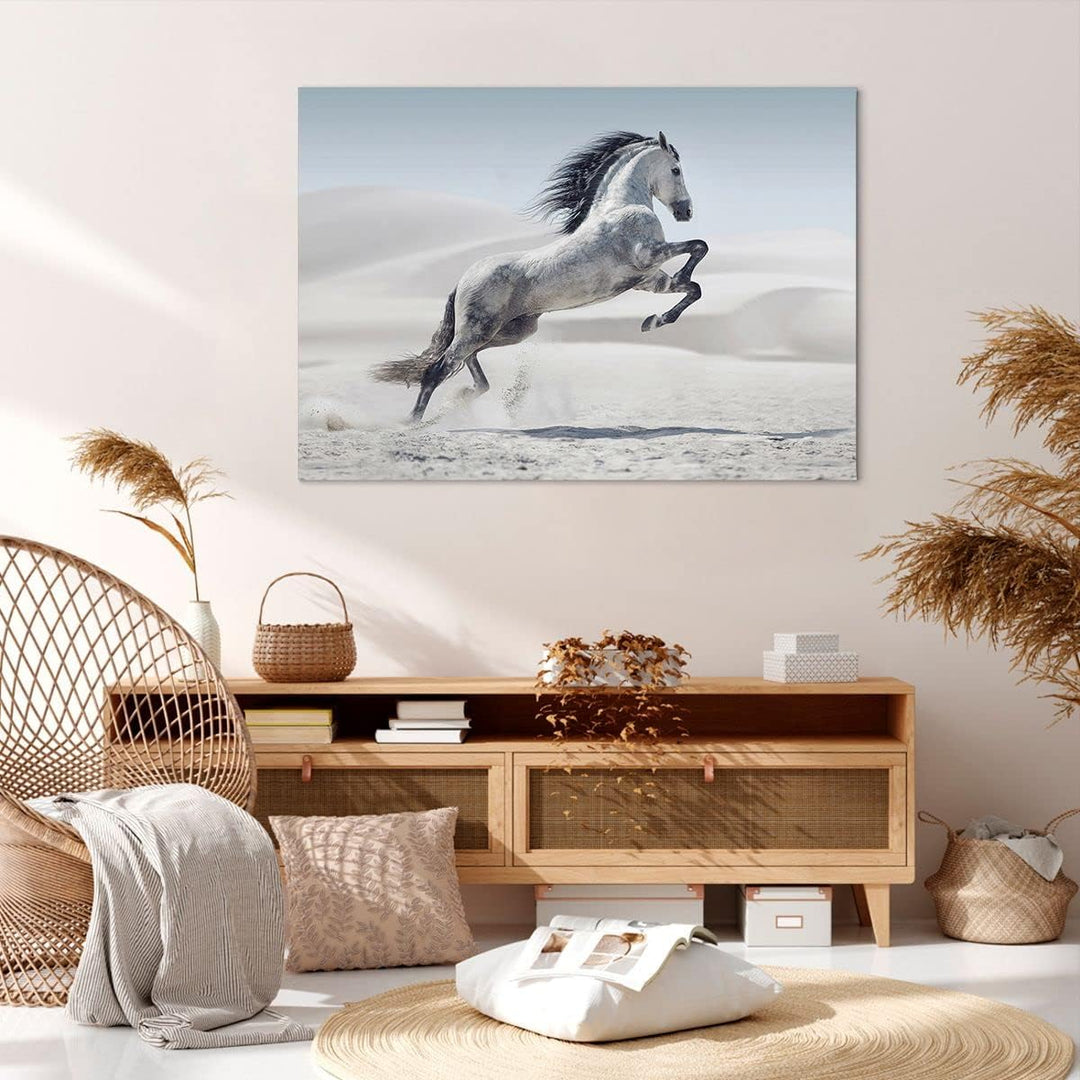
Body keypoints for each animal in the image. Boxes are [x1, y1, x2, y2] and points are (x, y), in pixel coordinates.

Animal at [372, 131, 708, 422]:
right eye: (676, 170)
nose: (687, 212)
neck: (621, 207)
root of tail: (463, 280)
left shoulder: (648, 280)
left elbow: (693, 288)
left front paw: (653, 321)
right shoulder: (648, 255)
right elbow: (699, 247)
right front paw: (661, 308)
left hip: (510, 331)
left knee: (467, 363)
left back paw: (464, 397)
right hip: (479, 329)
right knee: (438, 369)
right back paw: (413, 422)